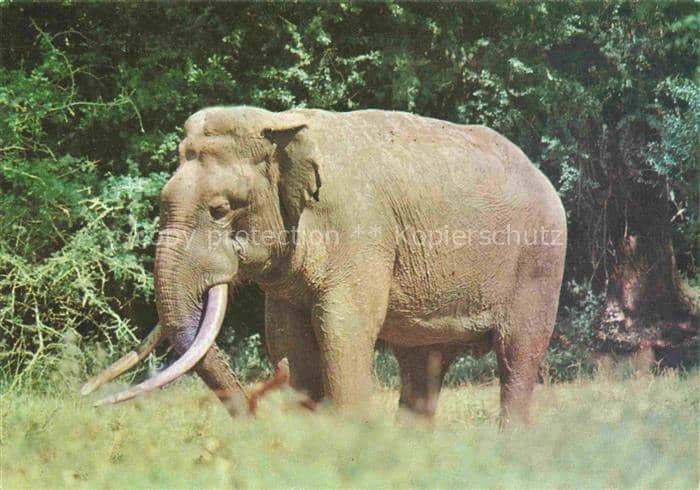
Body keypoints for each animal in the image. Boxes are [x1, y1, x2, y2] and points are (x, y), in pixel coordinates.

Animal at [82, 106, 567, 424]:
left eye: (220, 210)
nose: (84, 395)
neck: (280, 126)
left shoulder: (360, 232)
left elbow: (343, 330)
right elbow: (288, 340)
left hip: (540, 262)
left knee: (518, 358)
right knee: (422, 365)